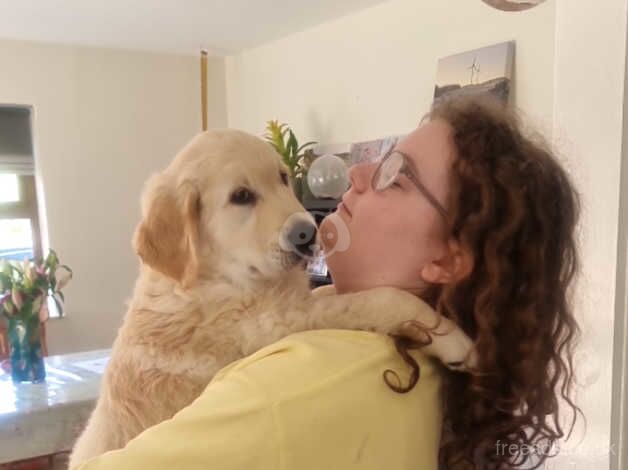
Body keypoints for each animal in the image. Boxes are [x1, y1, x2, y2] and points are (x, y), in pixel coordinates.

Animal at [68, 130, 474, 468]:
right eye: (241, 197)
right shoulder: (279, 321)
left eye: (282, 177)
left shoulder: (297, 299)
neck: (219, 275)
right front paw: (455, 340)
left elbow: (335, 289)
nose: (307, 234)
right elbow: (381, 298)